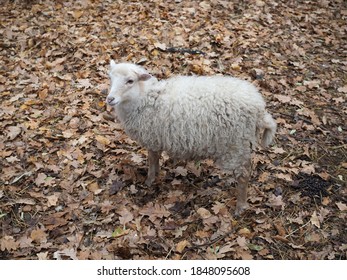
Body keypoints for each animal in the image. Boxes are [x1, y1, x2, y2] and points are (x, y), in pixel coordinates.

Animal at [106, 60, 278, 215]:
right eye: (111, 78)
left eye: (130, 81)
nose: (110, 99)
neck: (146, 98)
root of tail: (259, 109)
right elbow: (155, 159)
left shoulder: (152, 139)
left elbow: (152, 160)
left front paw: (149, 180)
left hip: (236, 145)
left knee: (243, 175)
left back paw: (240, 206)